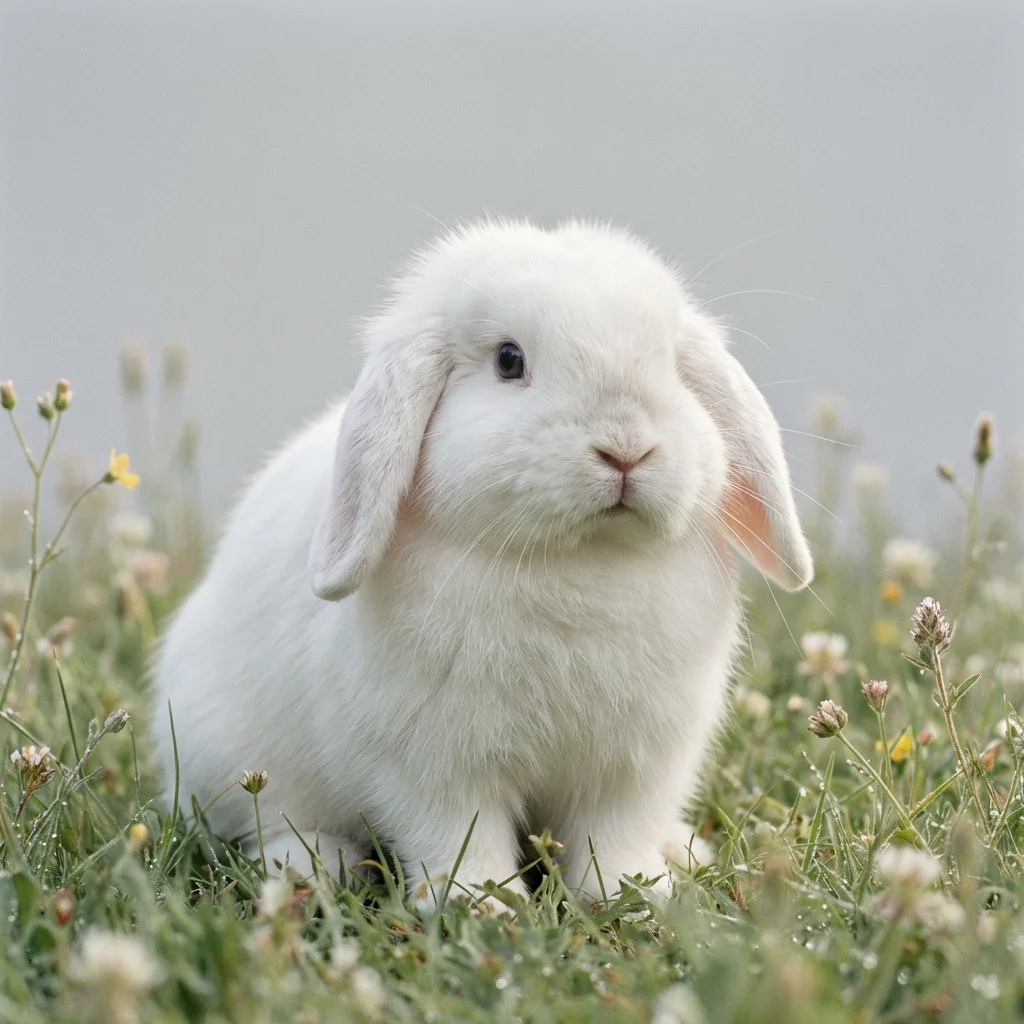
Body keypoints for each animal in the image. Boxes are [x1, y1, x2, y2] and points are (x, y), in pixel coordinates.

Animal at [151, 219, 813, 907]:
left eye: (670, 365)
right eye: (508, 360)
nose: (626, 447)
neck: (581, 561)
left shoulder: (635, 767)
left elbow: (613, 837)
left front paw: (632, 894)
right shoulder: (433, 767)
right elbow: (457, 835)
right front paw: (483, 904)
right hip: (228, 755)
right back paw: (313, 865)